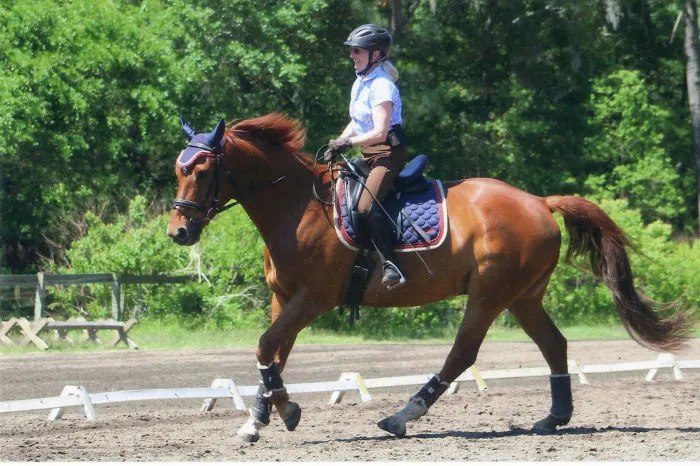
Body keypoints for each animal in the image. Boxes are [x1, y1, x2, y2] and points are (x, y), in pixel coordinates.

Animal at [166, 113, 691, 442]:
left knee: (463, 353)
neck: (297, 207)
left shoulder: (314, 298)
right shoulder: (284, 298)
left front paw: (287, 412)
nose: (178, 231)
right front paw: (260, 419)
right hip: (523, 296)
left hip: (490, 293)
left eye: (204, 170)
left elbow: (265, 347)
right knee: (554, 344)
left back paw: (402, 417)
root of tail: (539, 202)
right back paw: (553, 418)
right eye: (178, 169)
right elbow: (272, 353)